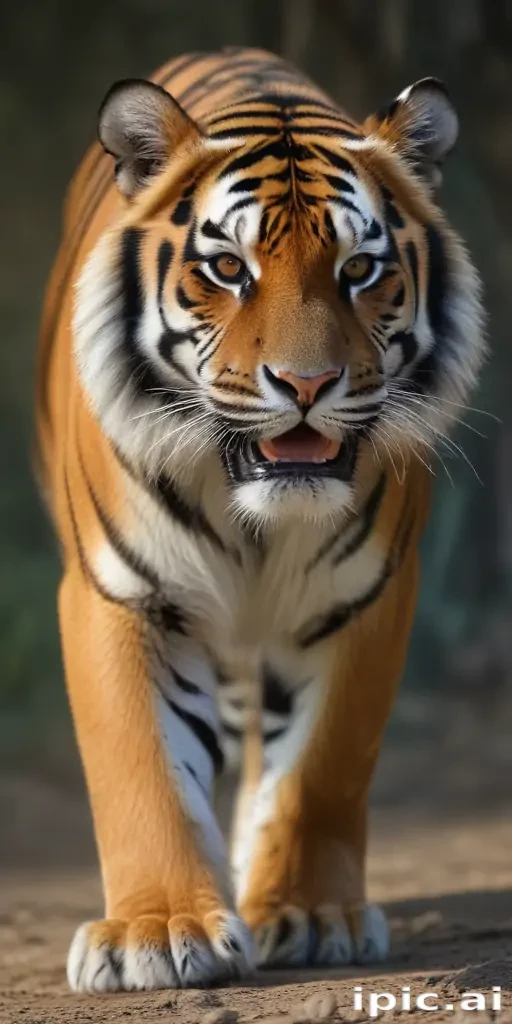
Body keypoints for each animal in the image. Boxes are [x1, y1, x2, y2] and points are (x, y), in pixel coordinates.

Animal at [36, 47, 485, 992]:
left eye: (359, 269)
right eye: (228, 270)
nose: (306, 384)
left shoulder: (367, 596)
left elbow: (321, 767)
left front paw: (309, 917)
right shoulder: (120, 591)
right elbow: (141, 764)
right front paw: (158, 931)